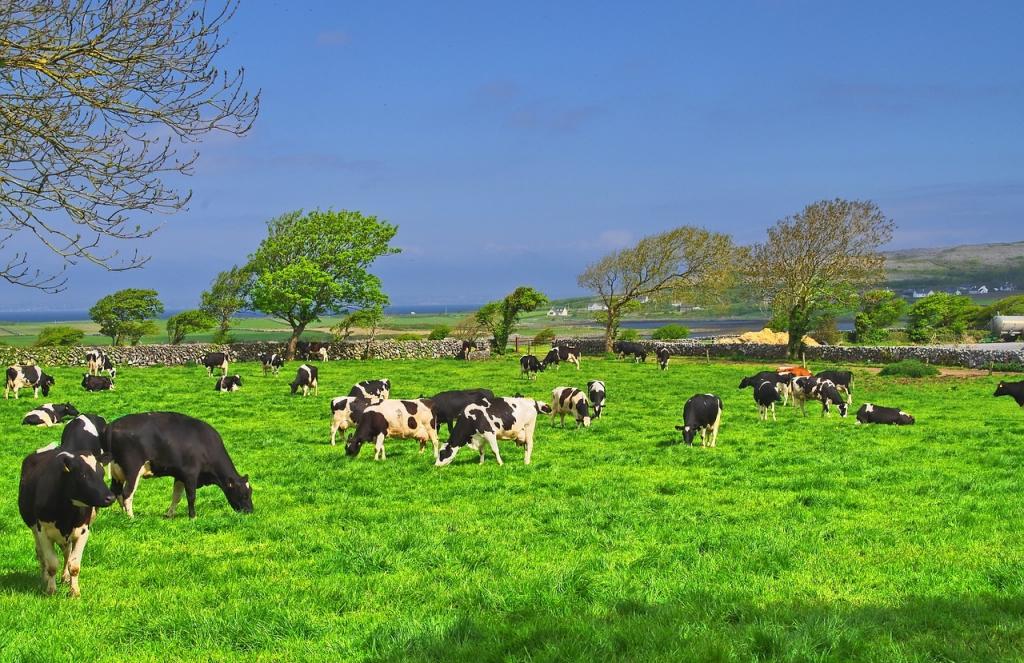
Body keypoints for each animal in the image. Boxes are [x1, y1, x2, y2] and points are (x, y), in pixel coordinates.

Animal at [18, 446, 116, 598]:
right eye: (83, 475)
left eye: (102, 473)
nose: (110, 497)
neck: (66, 515)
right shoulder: (43, 531)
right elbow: (52, 564)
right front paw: (51, 590)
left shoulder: (83, 532)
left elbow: (74, 565)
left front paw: (74, 591)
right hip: (35, 530)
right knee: (41, 554)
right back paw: (44, 578)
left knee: (66, 553)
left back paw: (65, 578)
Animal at [103, 411, 253, 520]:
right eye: (245, 494)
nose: (251, 511)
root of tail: (112, 425)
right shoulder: (191, 474)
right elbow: (191, 496)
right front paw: (193, 517)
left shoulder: (180, 475)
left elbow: (176, 496)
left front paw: (169, 514)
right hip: (132, 470)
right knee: (127, 493)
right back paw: (131, 518)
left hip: (117, 472)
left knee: (116, 491)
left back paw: (123, 515)